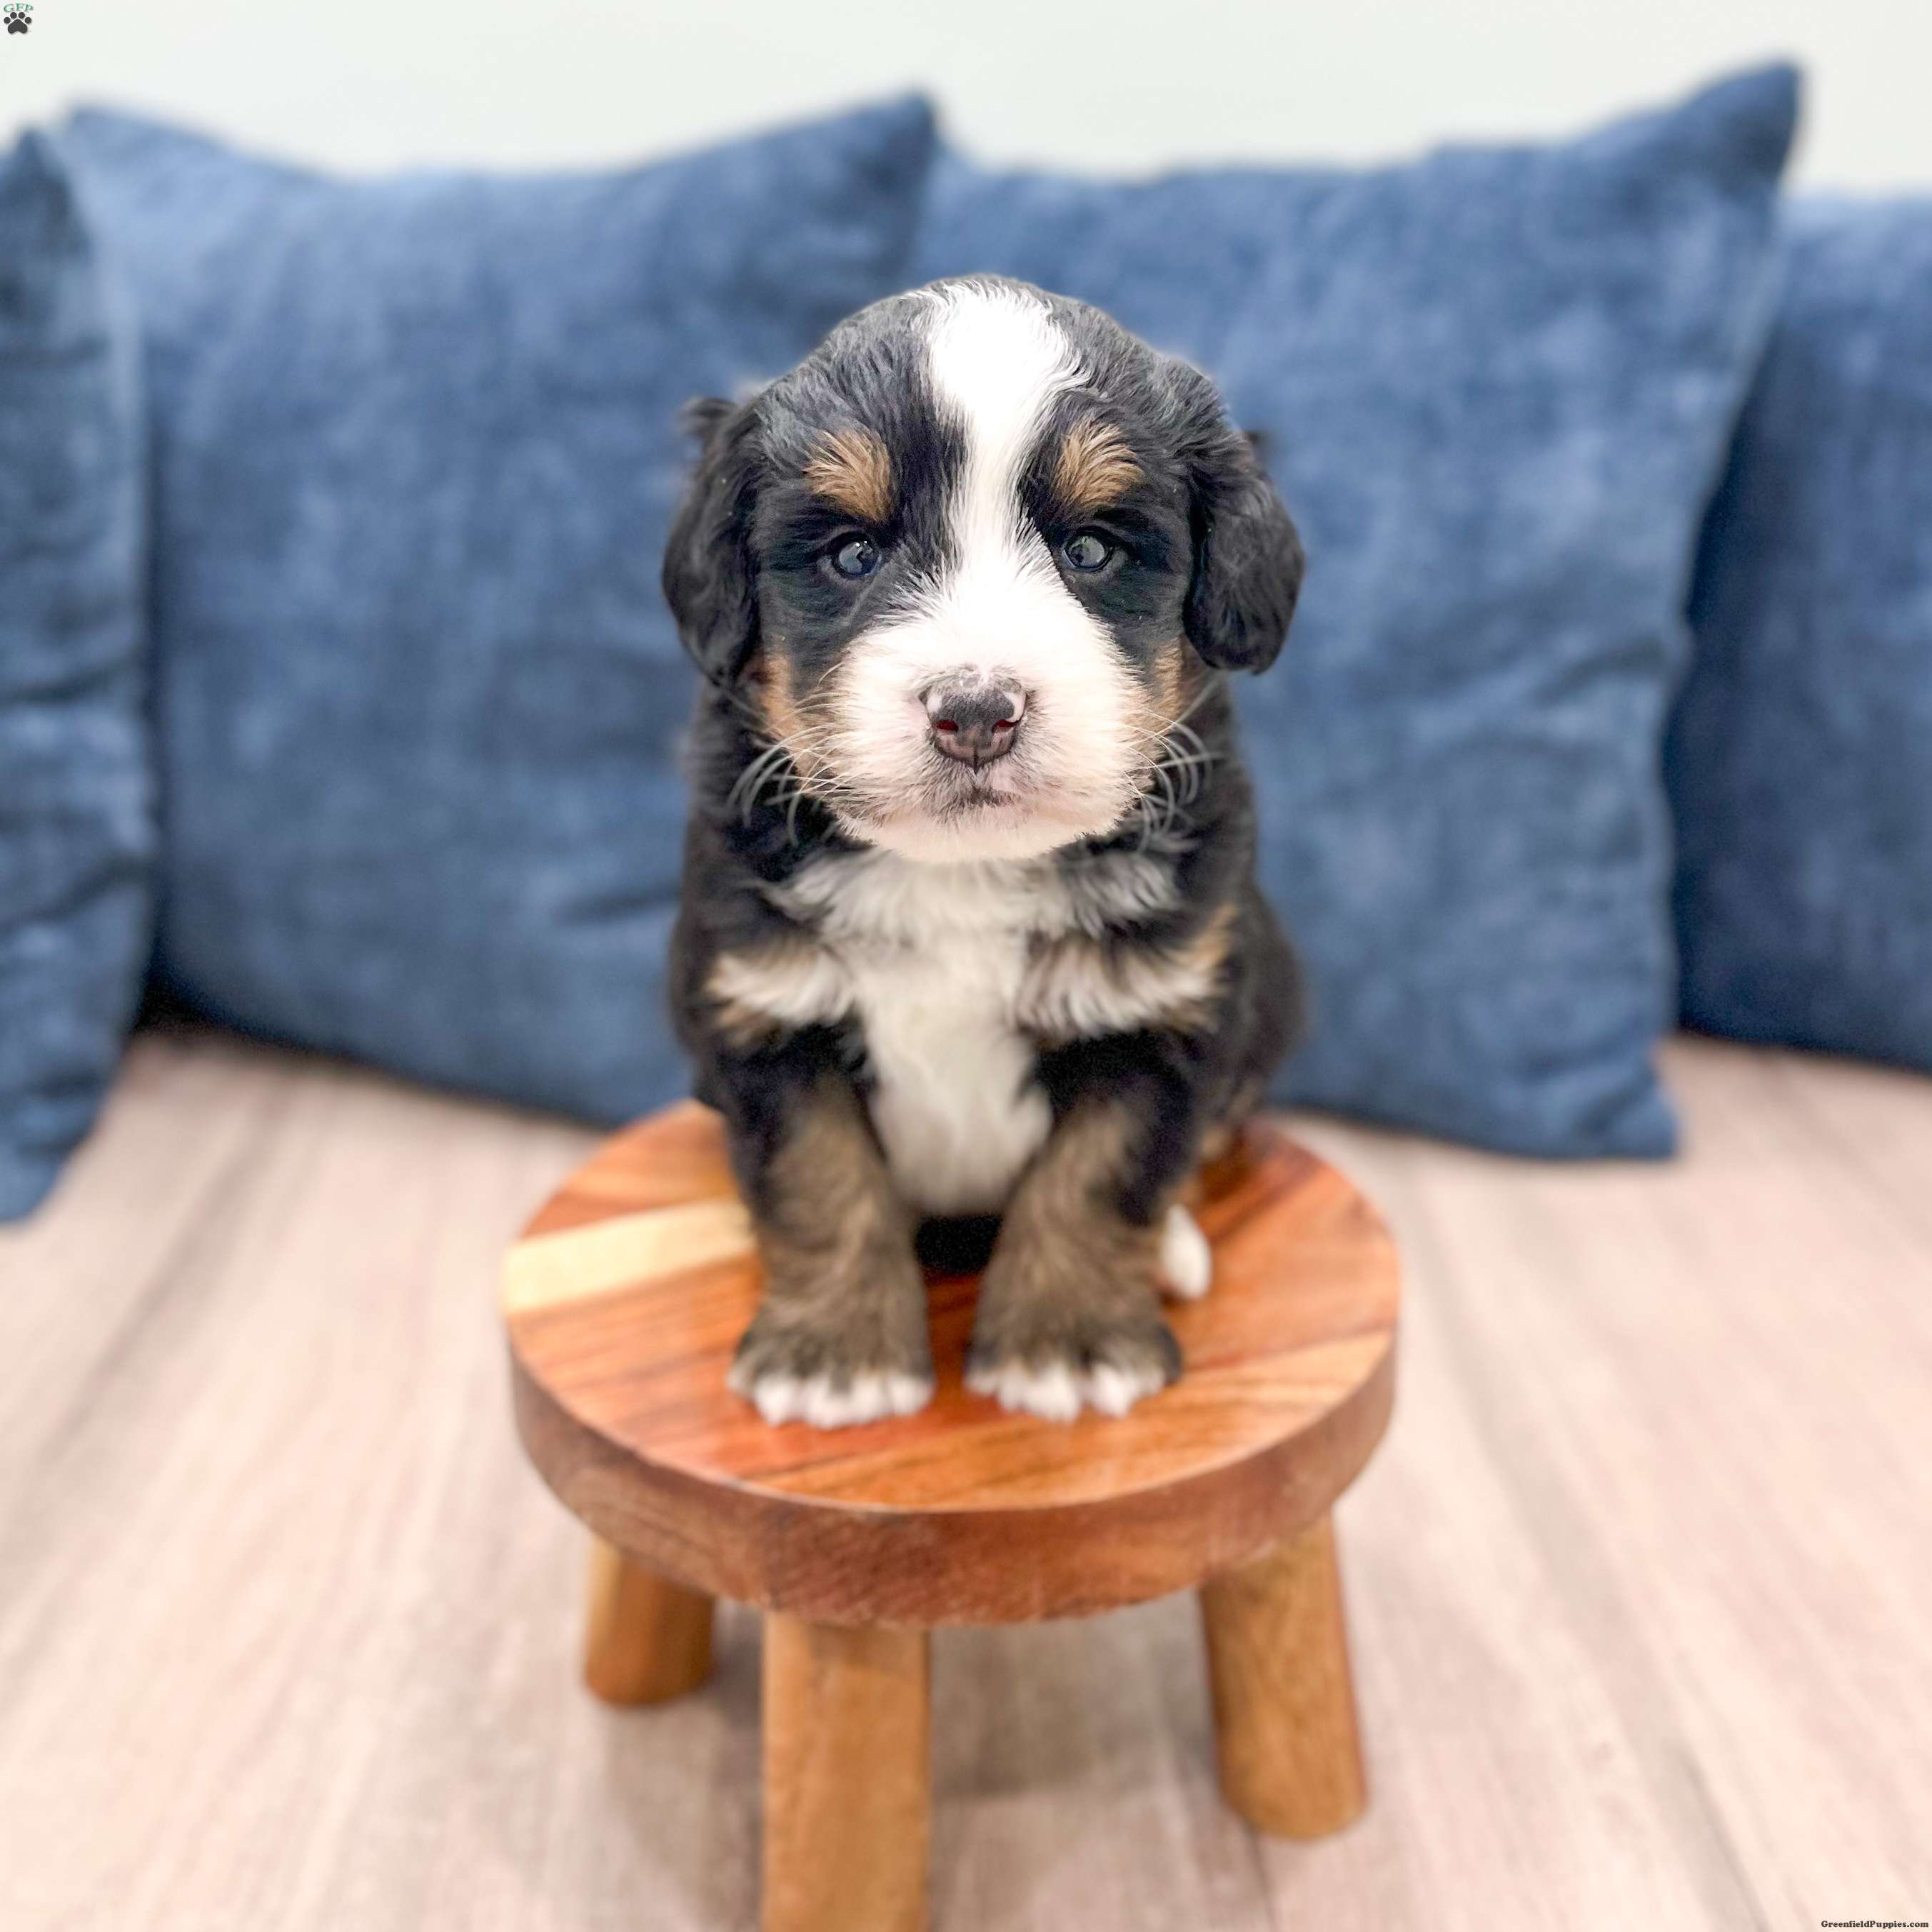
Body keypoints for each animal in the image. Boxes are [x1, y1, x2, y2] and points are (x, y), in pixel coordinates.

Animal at [663, 275, 1304, 1428]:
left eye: (1090, 552)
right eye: (852, 555)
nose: (975, 711)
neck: (960, 873)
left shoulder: (1164, 1007)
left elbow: (1100, 1174)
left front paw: (1067, 1345)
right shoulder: (763, 1005)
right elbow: (819, 1177)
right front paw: (834, 1357)